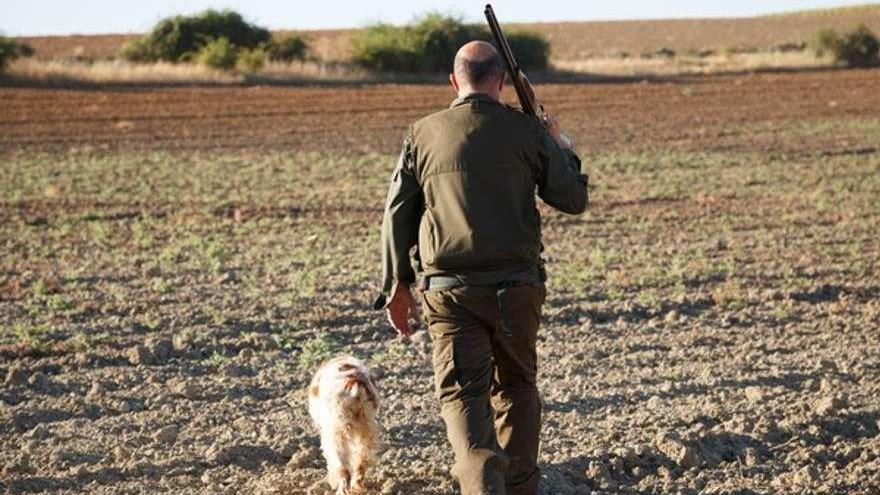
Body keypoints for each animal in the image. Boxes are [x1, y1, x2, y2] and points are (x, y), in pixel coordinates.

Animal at [308, 356, 380, 495]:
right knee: (360, 463)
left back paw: (341, 490)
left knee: (343, 469)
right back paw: (357, 488)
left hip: (336, 434)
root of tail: (355, 385)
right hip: (367, 430)